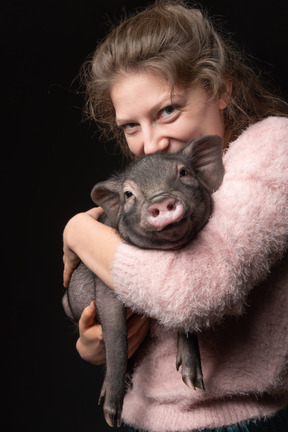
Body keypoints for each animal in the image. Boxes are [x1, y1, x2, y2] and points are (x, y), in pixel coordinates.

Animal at [63, 136, 224, 428]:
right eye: (128, 194)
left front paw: (193, 384)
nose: (161, 199)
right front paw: (111, 416)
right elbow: (117, 339)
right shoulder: (107, 289)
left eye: (184, 173)